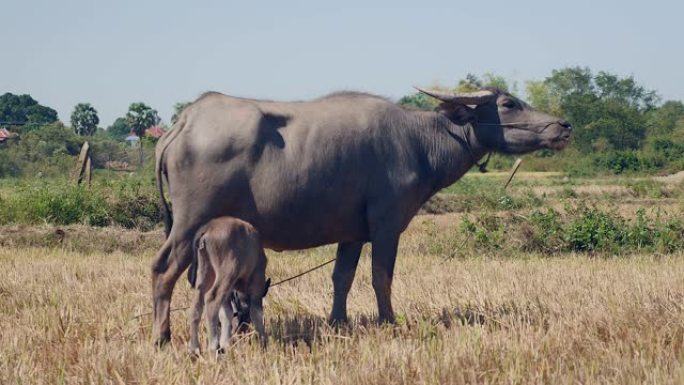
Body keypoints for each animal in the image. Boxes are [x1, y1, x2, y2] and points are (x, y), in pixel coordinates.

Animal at [151, 87, 572, 344]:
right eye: (508, 104)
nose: (563, 125)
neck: (419, 141)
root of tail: (183, 123)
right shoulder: (387, 226)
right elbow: (381, 276)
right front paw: (388, 321)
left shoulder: (351, 233)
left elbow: (343, 278)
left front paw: (339, 322)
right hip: (188, 225)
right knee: (162, 270)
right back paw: (162, 337)